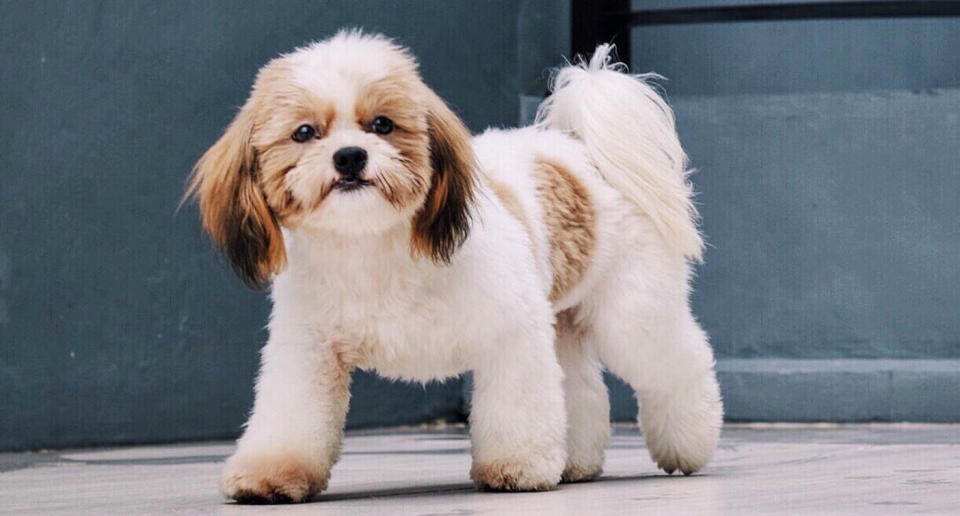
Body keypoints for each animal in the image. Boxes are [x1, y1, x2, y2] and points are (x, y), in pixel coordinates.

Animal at [186, 31, 720, 504]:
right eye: (303, 133)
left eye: (382, 124)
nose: (350, 156)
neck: (372, 248)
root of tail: (581, 151)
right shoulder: (307, 352)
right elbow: (290, 419)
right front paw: (269, 475)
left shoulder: (513, 334)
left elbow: (516, 406)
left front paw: (517, 469)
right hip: (562, 323)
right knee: (582, 390)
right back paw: (575, 462)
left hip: (630, 313)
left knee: (681, 364)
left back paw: (689, 446)